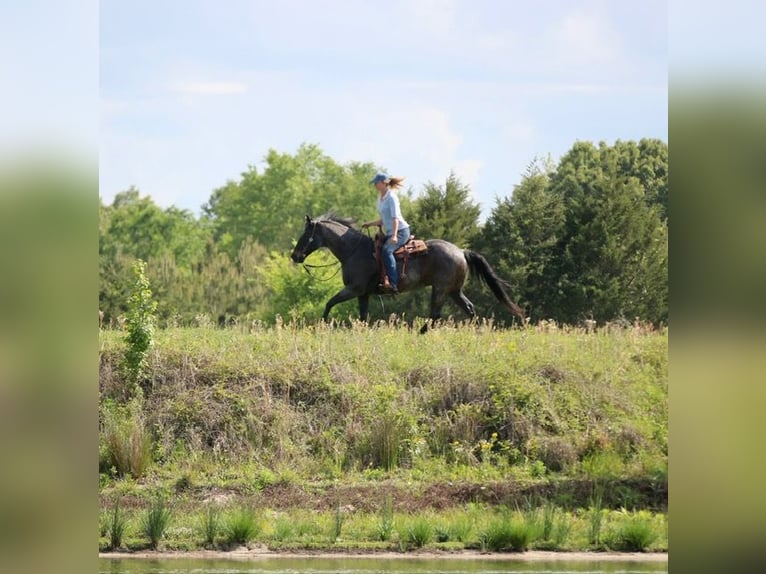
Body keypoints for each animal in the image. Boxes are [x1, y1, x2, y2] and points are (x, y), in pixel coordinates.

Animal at [290, 213, 525, 332]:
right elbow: (363, 317)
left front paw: (320, 326)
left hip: (440, 289)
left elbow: (329, 303)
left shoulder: (353, 289)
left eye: (306, 235)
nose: (295, 256)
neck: (354, 250)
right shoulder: (363, 294)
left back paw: (420, 333)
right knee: (469, 308)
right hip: (453, 290)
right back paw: (477, 333)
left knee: (435, 314)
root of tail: (461, 251)